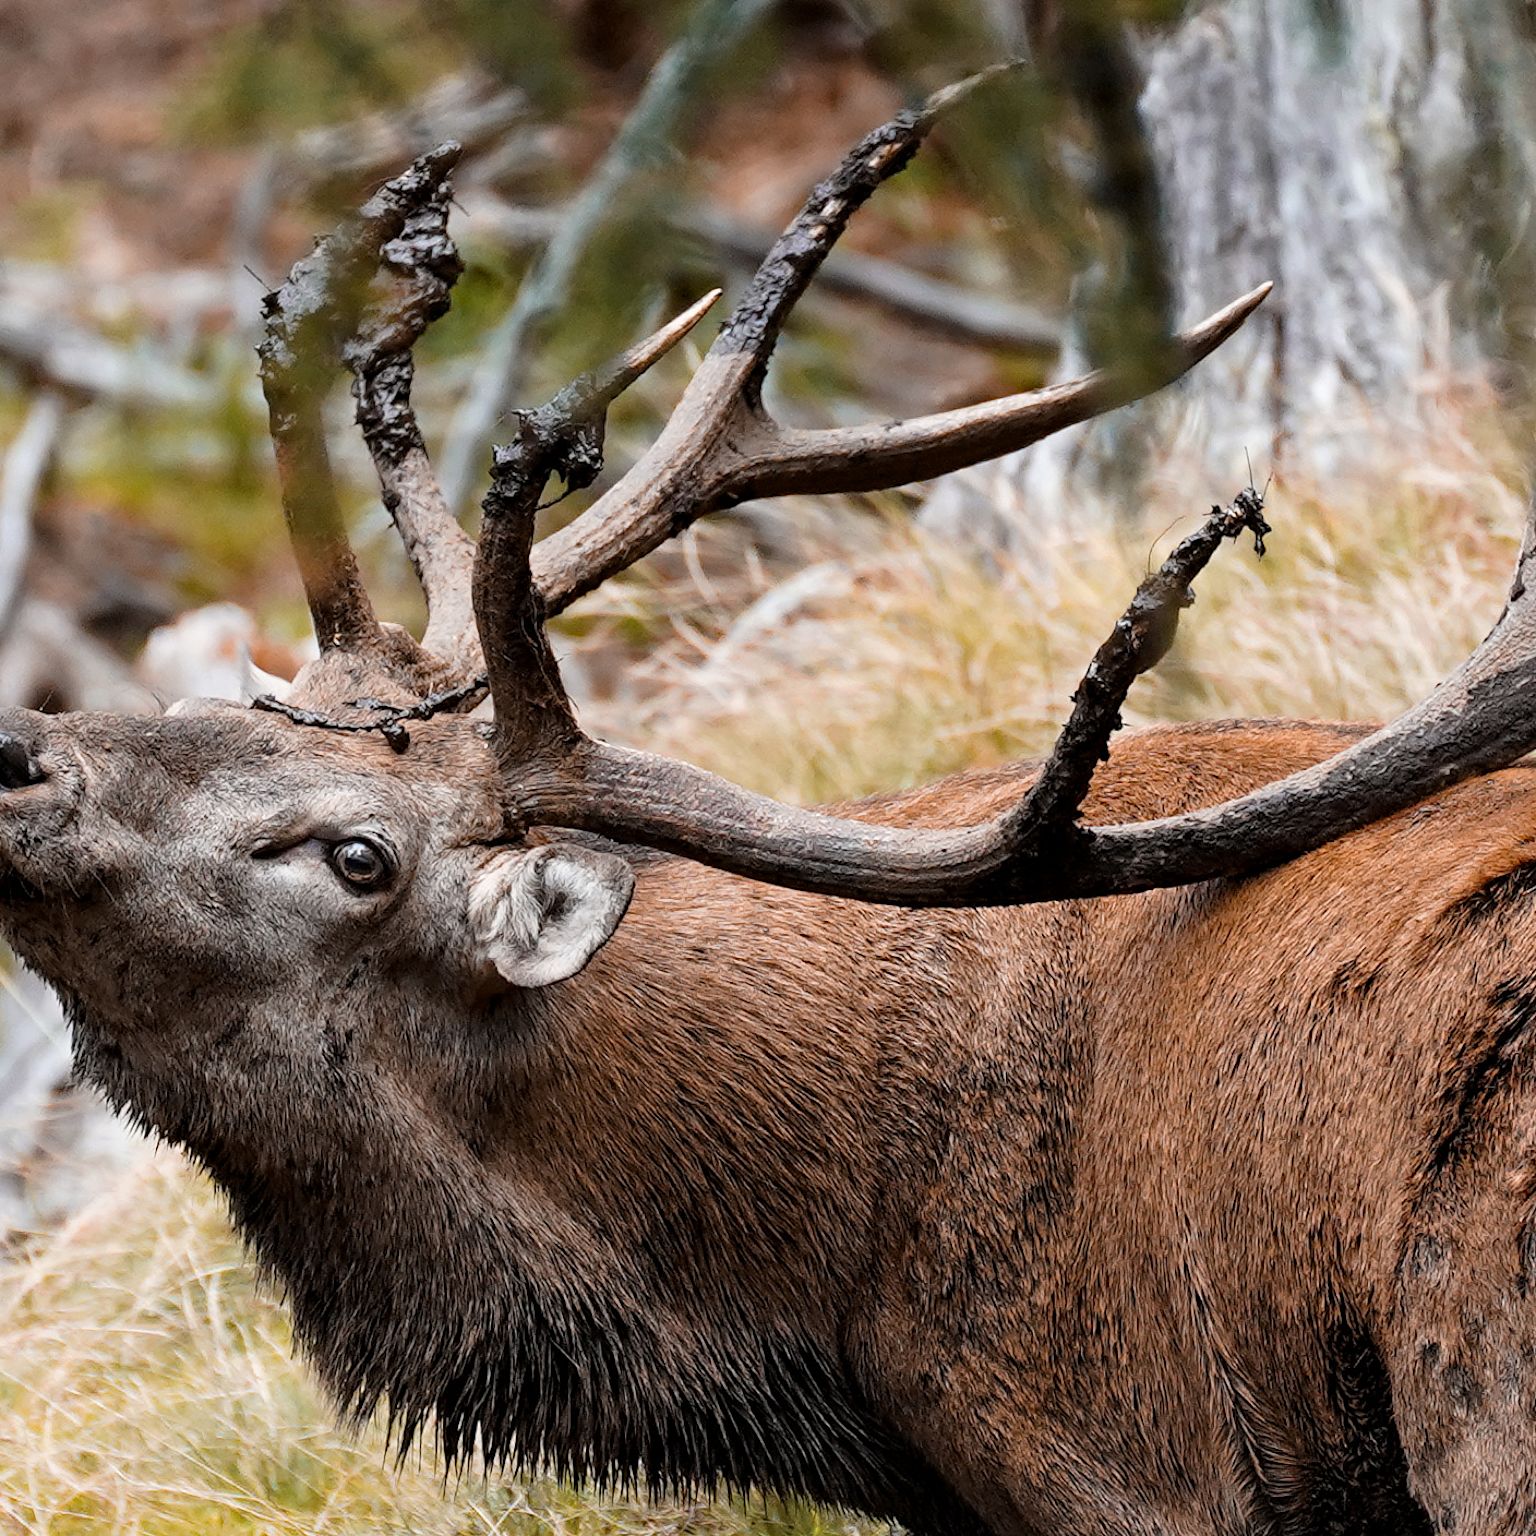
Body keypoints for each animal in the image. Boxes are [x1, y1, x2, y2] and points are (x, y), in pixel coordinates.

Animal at [6, 72, 1536, 1536]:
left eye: (356, 855)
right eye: (199, 715)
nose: (22, 755)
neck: (815, 1315)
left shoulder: (1135, 1465)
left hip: (1481, 1394)